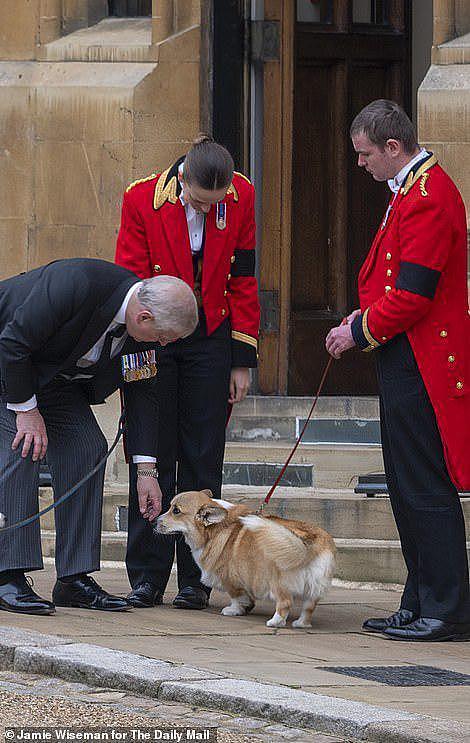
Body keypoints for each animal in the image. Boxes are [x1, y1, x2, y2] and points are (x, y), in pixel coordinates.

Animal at [156, 492, 336, 632]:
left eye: (176, 510)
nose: (155, 520)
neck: (214, 530)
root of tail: (307, 541)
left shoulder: (230, 579)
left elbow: (236, 597)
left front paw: (233, 610)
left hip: (276, 583)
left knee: (285, 602)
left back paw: (275, 622)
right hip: (313, 588)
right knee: (309, 607)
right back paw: (301, 623)